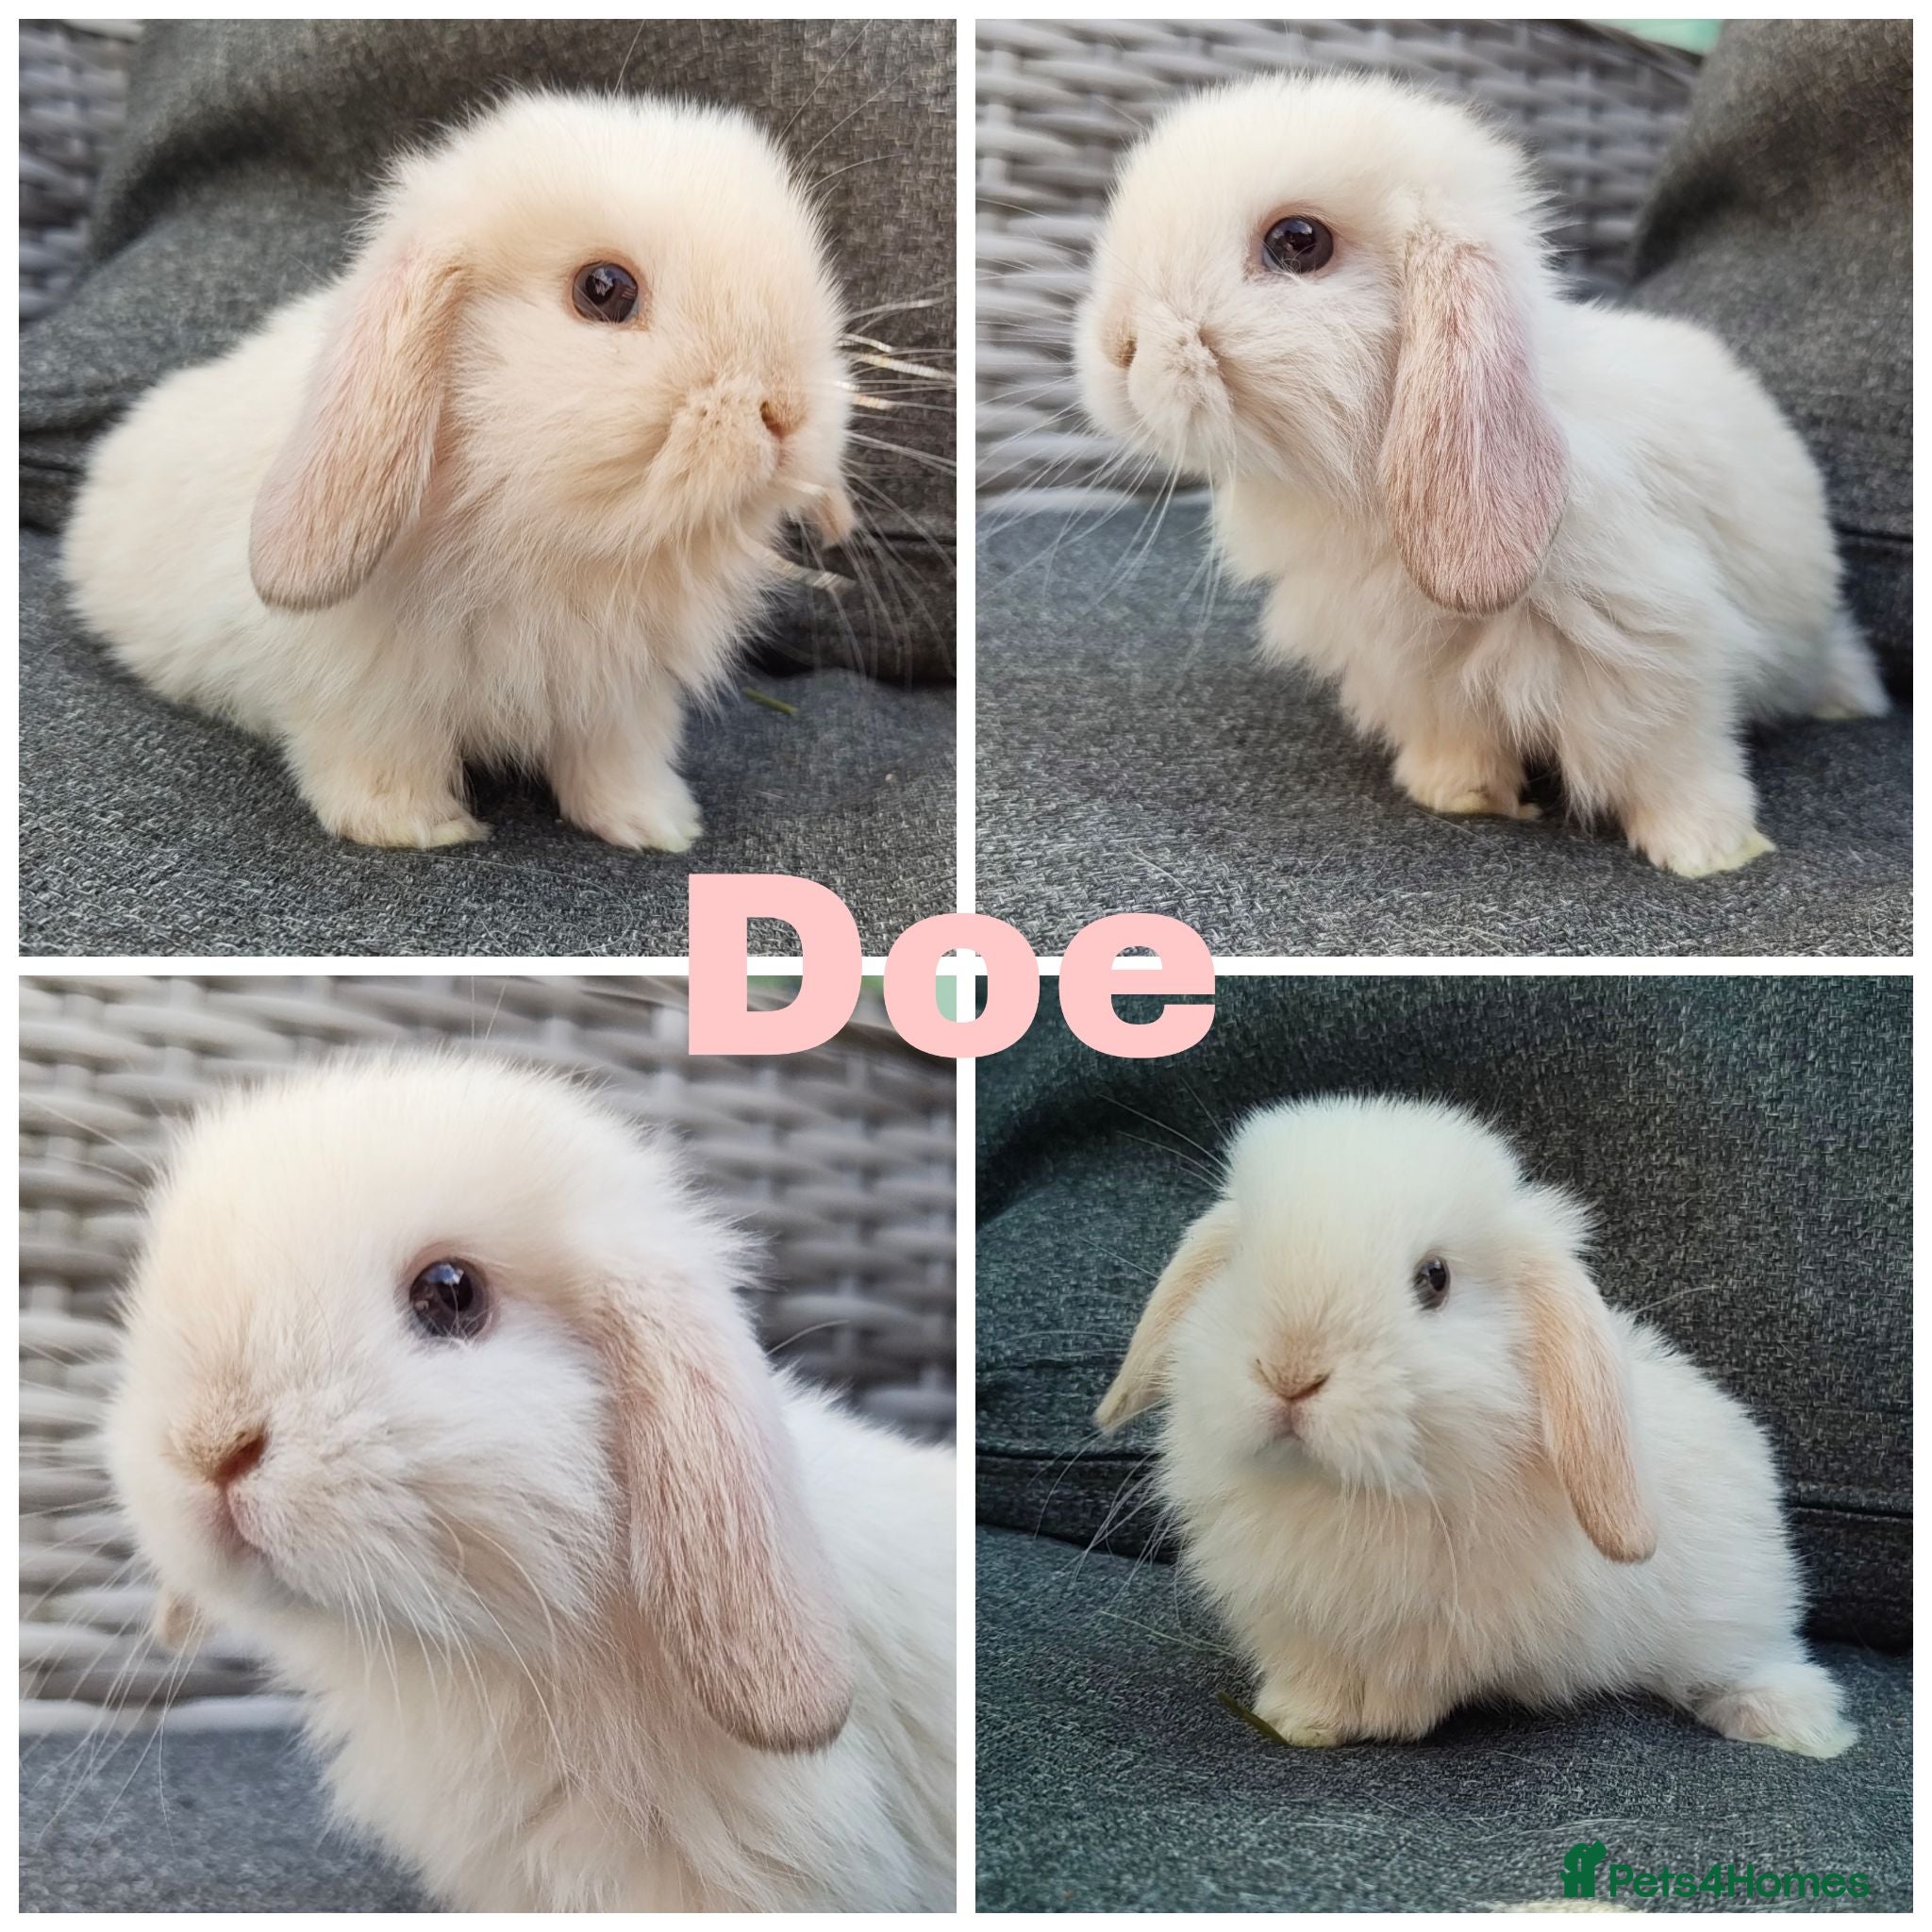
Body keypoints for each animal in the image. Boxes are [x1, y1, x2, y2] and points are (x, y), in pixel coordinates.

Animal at [62, 90, 856, 852]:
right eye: (604, 289)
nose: (787, 412)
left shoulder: (620, 702)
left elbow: (616, 768)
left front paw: (658, 828)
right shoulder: (364, 694)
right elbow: (379, 760)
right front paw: (418, 829)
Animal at [1074, 74, 1889, 878]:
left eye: (1297, 242)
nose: (1118, 346)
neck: (1362, 493)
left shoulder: (1656, 649)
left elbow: (1673, 761)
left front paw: (1708, 851)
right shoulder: (1415, 674)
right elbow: (1458, 737)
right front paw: (1456, 794)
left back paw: (1853, 704)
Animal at [1095, 1094, 1856, 1759]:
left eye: (1434, 1278)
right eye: (1239, 1258)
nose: (1289, 1372)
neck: (1351, 1492)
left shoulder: (1450, 1634)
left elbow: (1416, 1682)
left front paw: (1386, 1720)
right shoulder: (1296, 1623)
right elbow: (1312, 1676)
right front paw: (1299, 1720)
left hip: (1736, 1607)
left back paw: (1794, 1725)